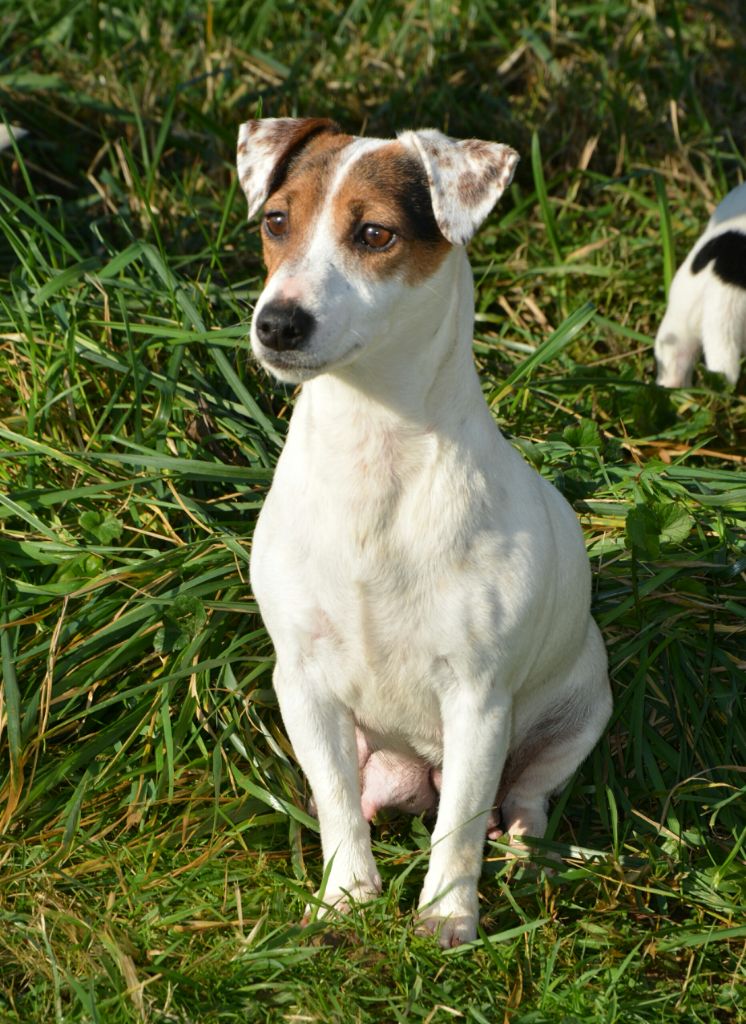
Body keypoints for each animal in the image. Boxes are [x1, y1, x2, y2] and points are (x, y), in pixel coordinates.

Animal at [238, 117, 609, 942]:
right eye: (276, 221)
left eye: (375, 233)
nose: (276, 323)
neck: (373, 451)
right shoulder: (302, 684)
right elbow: (339, 808)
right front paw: (345, 896)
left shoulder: (477, 698)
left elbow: (461, 828)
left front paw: (446, 917)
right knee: (361, 796)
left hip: (581, 710)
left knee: (520, 797)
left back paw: (524, 847)